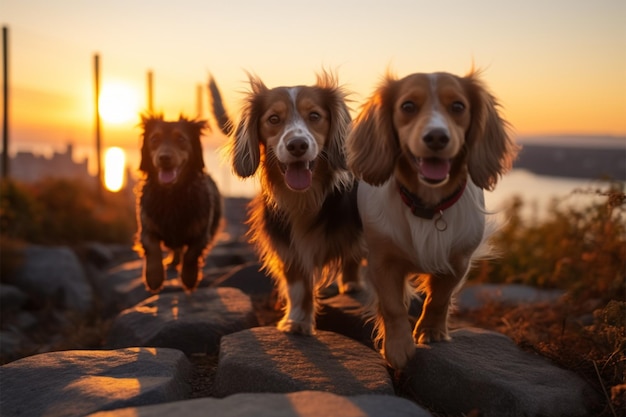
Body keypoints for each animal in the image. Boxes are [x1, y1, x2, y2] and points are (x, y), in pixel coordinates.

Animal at [134, 114, 222, 292]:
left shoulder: (202, 233)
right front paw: (154, 278)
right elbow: (152, 248)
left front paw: (189, 278)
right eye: (154, 139)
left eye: (181, 139)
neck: (172, 195)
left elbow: (191, 254)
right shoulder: (146, 227)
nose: (164, 158)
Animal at [346, 69, 516, 368]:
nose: (436, 137)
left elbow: (439, 298)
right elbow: (392, 307)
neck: (428, 205)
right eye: (407, 106)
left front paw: (431, 331)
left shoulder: (457, 260)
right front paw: (398, 347)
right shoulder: (383, 261)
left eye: (458, 106)